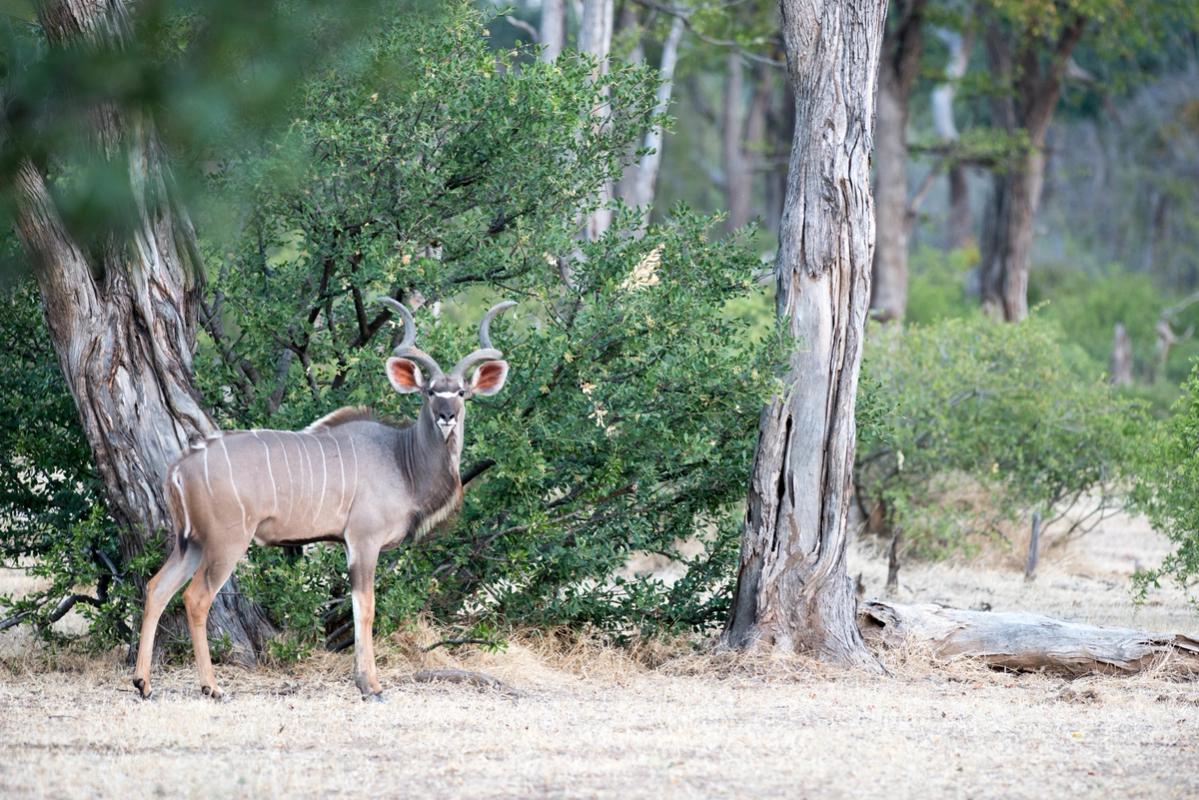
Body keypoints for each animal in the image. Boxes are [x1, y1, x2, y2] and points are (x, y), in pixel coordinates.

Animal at [132, 298, 515, 700]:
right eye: (429, 391)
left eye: (461, 392)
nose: (446, 417)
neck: (401, 457)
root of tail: (180, 466)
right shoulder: (364, 540)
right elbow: (365, 607)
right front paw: (370, 685)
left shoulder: (348, 543)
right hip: (226, 543)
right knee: (195, 598)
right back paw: (212, 687)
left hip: (190, 543)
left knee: (157, 588)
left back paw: (143, 682)